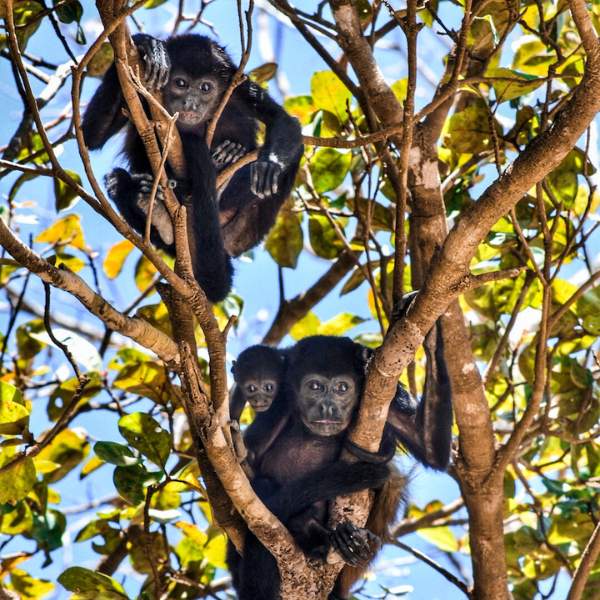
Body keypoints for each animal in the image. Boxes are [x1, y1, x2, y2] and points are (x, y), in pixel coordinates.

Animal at [81, 34, 300, 300]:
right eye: (181, 83)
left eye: (205, 87)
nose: (191, 103)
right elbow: (91, 134)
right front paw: (147, 45)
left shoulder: (238, 88)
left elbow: (284, 120)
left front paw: (270, 164)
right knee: (115, 179)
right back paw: (153, 206)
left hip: (242, 230)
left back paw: (228, 160)